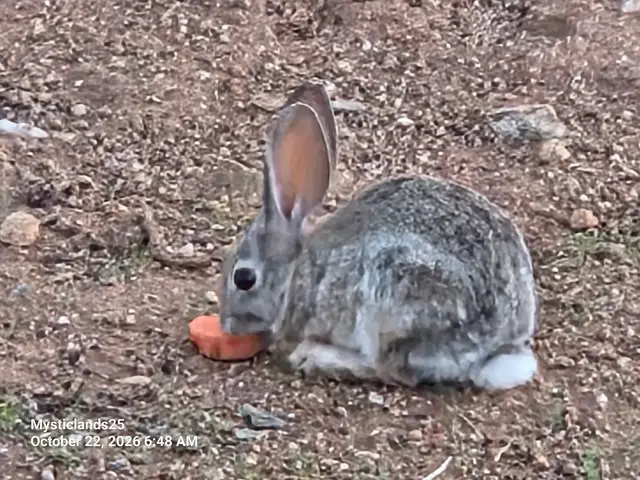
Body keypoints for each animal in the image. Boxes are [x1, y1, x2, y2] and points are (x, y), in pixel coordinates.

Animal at [219, 82, 538, 391]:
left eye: (243, 279)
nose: (225, 325)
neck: (297, 270)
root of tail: (498, 342)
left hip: (394, 299)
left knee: (393, 370)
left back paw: (317, 357)